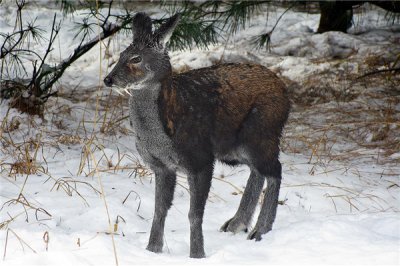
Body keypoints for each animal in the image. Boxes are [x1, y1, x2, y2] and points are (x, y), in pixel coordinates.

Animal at [104, 12, 290, 258]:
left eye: (136, 58)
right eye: (120, 55)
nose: (108, 79)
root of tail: (284, 90)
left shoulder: (200, 160)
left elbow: (195, 213)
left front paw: (197, 254)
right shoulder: (161, 166)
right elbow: (159, 209)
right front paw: (152, 250)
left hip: (261, 133)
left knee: (274, 169)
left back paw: (260, 230)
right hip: (233, 148)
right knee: (258, 171)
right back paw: (236, 224)